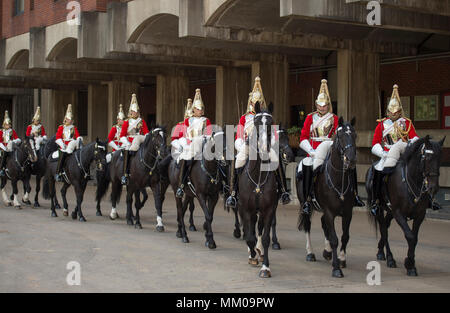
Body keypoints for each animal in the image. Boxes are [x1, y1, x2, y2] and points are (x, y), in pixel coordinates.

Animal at [298, 116, 356, 276]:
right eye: (340, 136)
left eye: (355, 135)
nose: (351, 160)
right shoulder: (330, 212)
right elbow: (334, 238)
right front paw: (336, 268)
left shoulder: (348, 213)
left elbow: (345, 236)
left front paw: (341, 259)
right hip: (307, 206)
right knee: (308, 226)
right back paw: (310, 253)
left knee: (324, 224)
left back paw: (327, 251)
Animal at [368, 135, 444, 274]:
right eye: (427, 157)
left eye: (440, 158)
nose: (433, 188)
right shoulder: (399, 213)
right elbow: (410, 236)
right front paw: (409, 264)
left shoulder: (419, 215)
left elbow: (415, 238)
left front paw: (411, 264)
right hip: (380, 209)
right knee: (383, 229)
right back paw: (390, 258)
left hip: (390, 211)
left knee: (385, 226)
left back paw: (381, 251)